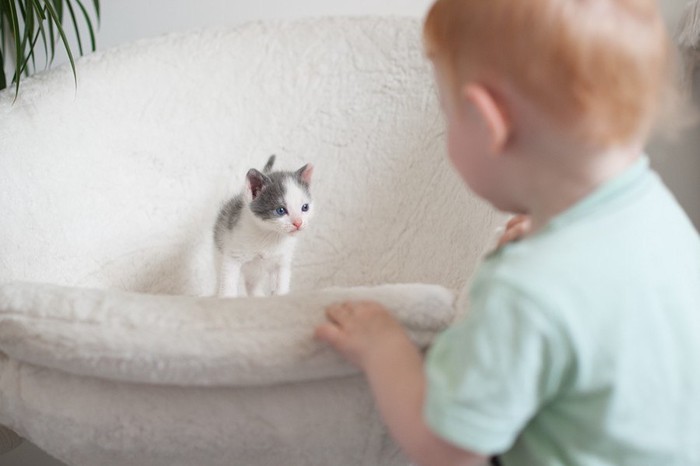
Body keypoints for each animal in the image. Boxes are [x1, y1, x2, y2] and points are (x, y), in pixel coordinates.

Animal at [212, 155, 314, 296]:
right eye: (280, 210)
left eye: (305, 207)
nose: (298, 223)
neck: (270, 236)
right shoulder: (232, 257)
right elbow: (228, 283)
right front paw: (227, 297)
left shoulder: (282, 261)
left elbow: (281, 284)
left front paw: (280, 295)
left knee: (253, 283)